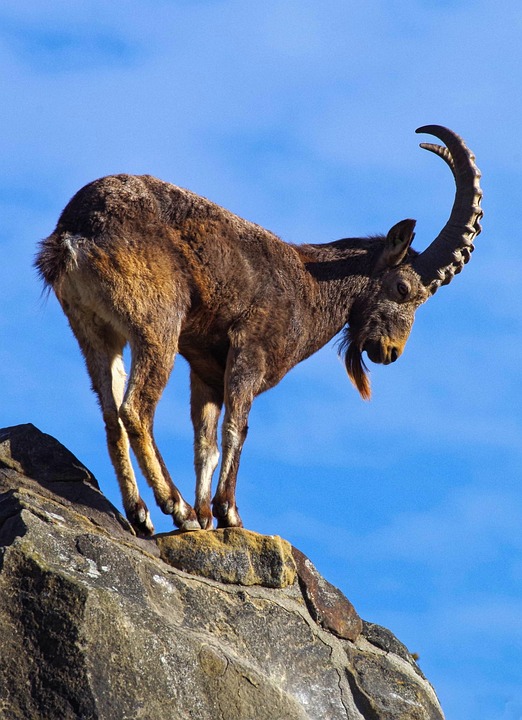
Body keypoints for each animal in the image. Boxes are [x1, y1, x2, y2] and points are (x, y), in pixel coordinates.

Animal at [36, 125, 482, 536]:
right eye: (402, 288)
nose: (390, 351)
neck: (310, 283)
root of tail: (75, 232)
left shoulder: (205, 369)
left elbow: (206, 443)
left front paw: (206, 516)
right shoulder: (250, 352)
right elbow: (237, 429)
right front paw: (227, 513)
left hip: (95, 332)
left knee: (111, 415)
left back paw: (142, 514)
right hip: (157, 325)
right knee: (135, 409)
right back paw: (175, 507)